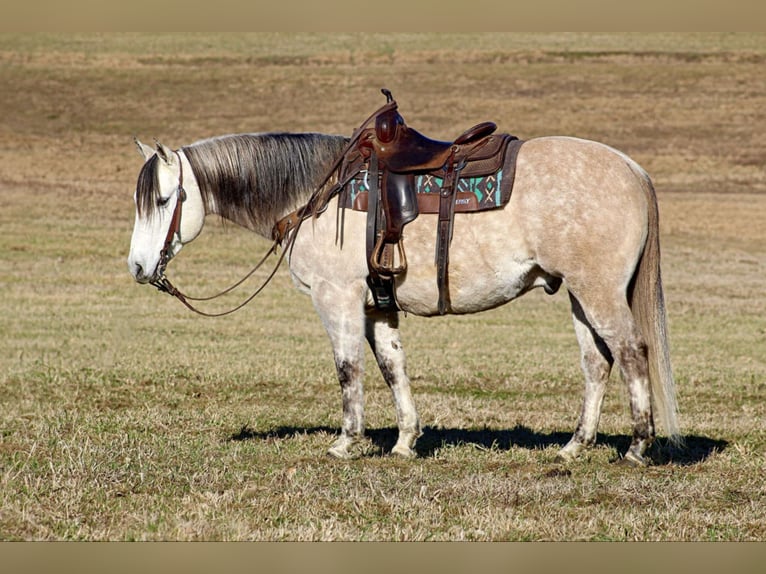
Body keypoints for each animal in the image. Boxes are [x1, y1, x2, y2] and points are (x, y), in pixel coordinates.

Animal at [127, 127, 684, 468]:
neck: (316, 196)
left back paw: (637, 447)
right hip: (579, 296)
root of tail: (632, 169)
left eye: (163, 199)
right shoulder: (377, 306)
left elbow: (348, 368)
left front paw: (346, 442)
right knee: (597, 363)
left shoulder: (337, 298)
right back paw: (573, 447)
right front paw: (404, 441)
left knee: (632, 353)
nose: (137, 267)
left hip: (599, 292)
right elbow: (393, 368)